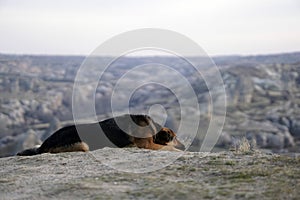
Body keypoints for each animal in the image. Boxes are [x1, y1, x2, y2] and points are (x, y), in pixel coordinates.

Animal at [17, 114, 185, 156]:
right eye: (176, 138)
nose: (184, 146)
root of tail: (43, 146)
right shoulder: (147, 144)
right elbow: (169, 148)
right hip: (82, 144)